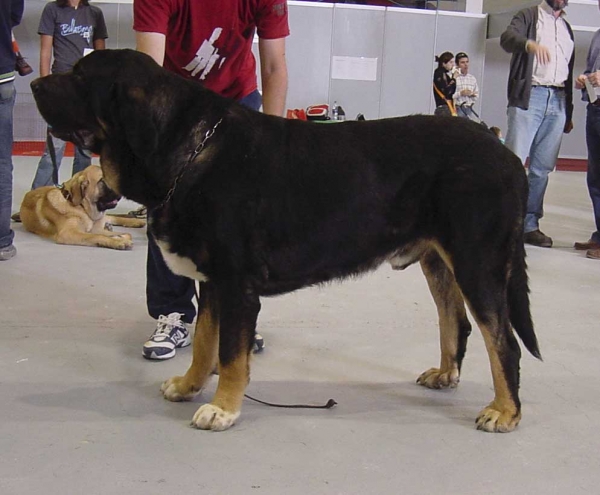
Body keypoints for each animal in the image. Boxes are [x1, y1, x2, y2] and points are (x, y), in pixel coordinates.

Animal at [30, 48, 540, 432]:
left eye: (80, 77)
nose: (34, 84)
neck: (189, 151)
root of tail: (505, 154)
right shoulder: (212, 283)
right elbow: (205, 342)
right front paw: (189, 385)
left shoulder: (236, 284)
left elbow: (231, 354)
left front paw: (223, 407)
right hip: (440, 261)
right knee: (456, 323)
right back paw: (446, 375)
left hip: (478, 262)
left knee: (504, 342)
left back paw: (505, 411)